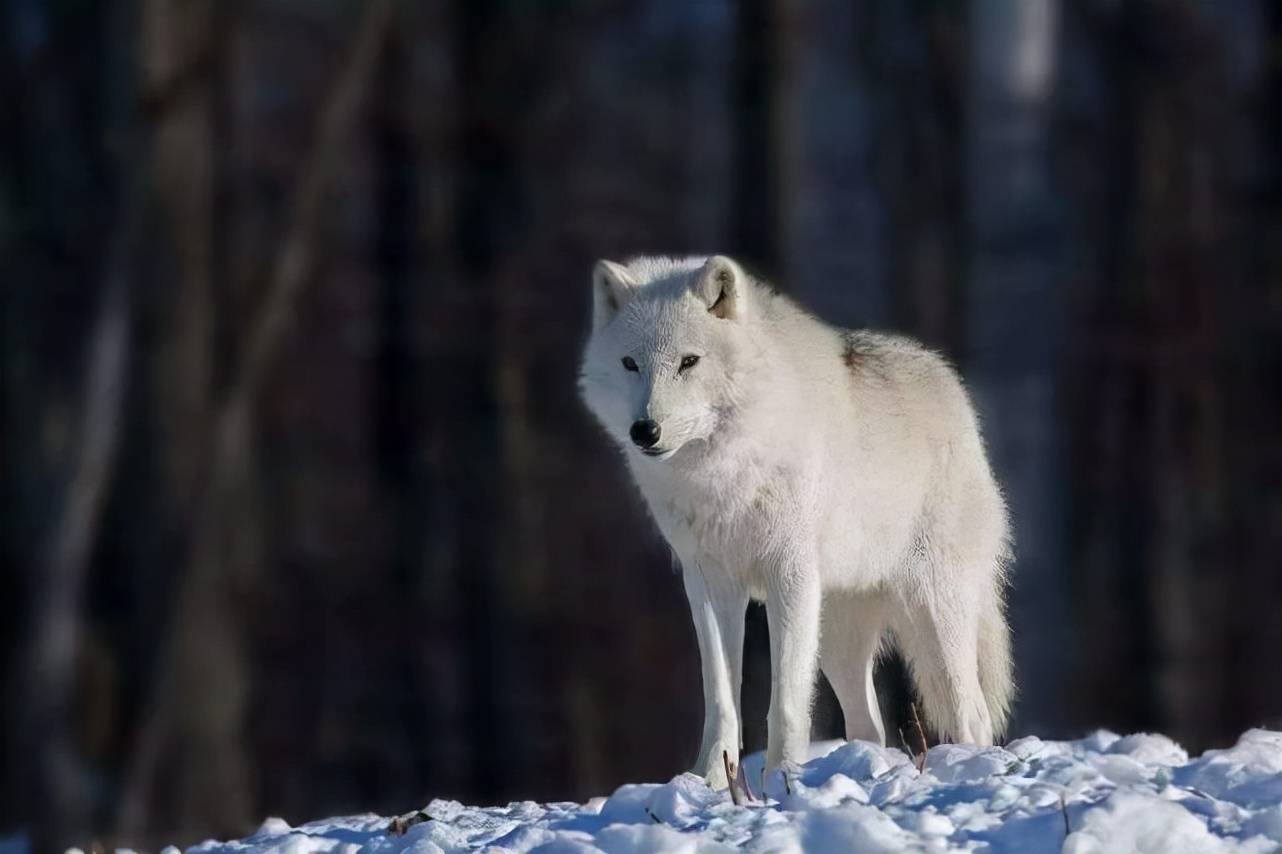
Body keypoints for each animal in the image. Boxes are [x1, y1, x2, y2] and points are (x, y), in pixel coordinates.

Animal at [579, 252, 1010, 784]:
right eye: (629, 364)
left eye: (688, 362)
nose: (645, 430)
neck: (723, 471)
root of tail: (953, 391)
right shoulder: (709, 582)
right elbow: (720, 697)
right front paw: (711, 780)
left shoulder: (788, 574)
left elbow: (784, 702)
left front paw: (782, 779)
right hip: (838, 638)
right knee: (870, 725)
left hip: (932, 611)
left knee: (971, 713)